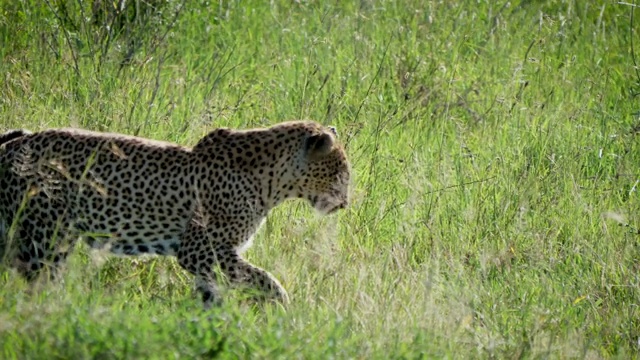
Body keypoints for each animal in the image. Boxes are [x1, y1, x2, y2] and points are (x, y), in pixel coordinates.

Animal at [0, 120, 350, 306]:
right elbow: (263, 278)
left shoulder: (209, 259)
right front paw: (281, 306)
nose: (346, 203)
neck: (275, 181)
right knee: (38, 284)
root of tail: (12, 143)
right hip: (42, 241)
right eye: (341, 172)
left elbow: (212, 295)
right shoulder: (201, 249)